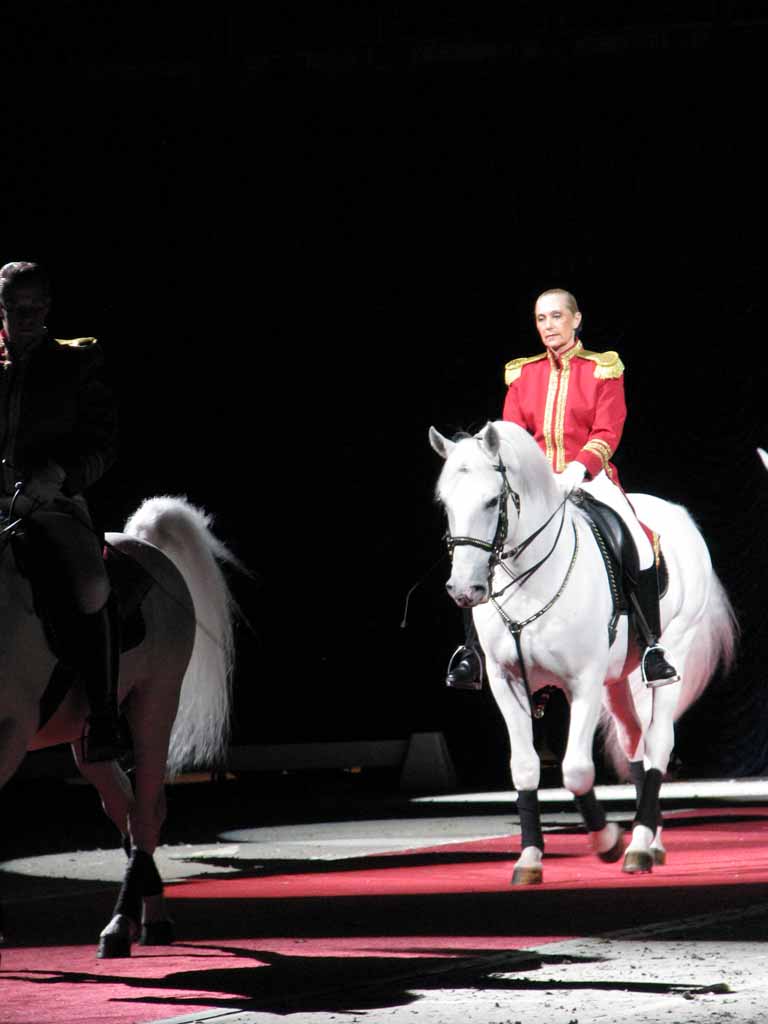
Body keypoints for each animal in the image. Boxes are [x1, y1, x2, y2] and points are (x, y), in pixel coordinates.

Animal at [0, 491, 239, 954]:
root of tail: (141, 545)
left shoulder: (10, 733)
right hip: (90, 739)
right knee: (125, 806)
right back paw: (147, 914)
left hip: (156, 704)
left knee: (144, 811)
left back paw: (122, 926)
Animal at [434, 419, 741, 884]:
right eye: (446, 503)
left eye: (491, 501)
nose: (464, 590)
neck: (529, 579)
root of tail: (678, 513)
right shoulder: (508, 684)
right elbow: (524, 768)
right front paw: (529, 858)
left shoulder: (583, 681)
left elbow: (577, 770)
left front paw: (607, 841)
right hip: (616, 679)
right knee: (634, 743)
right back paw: (650, 839)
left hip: (672, 654)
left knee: (658, 741)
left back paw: (638, 846)